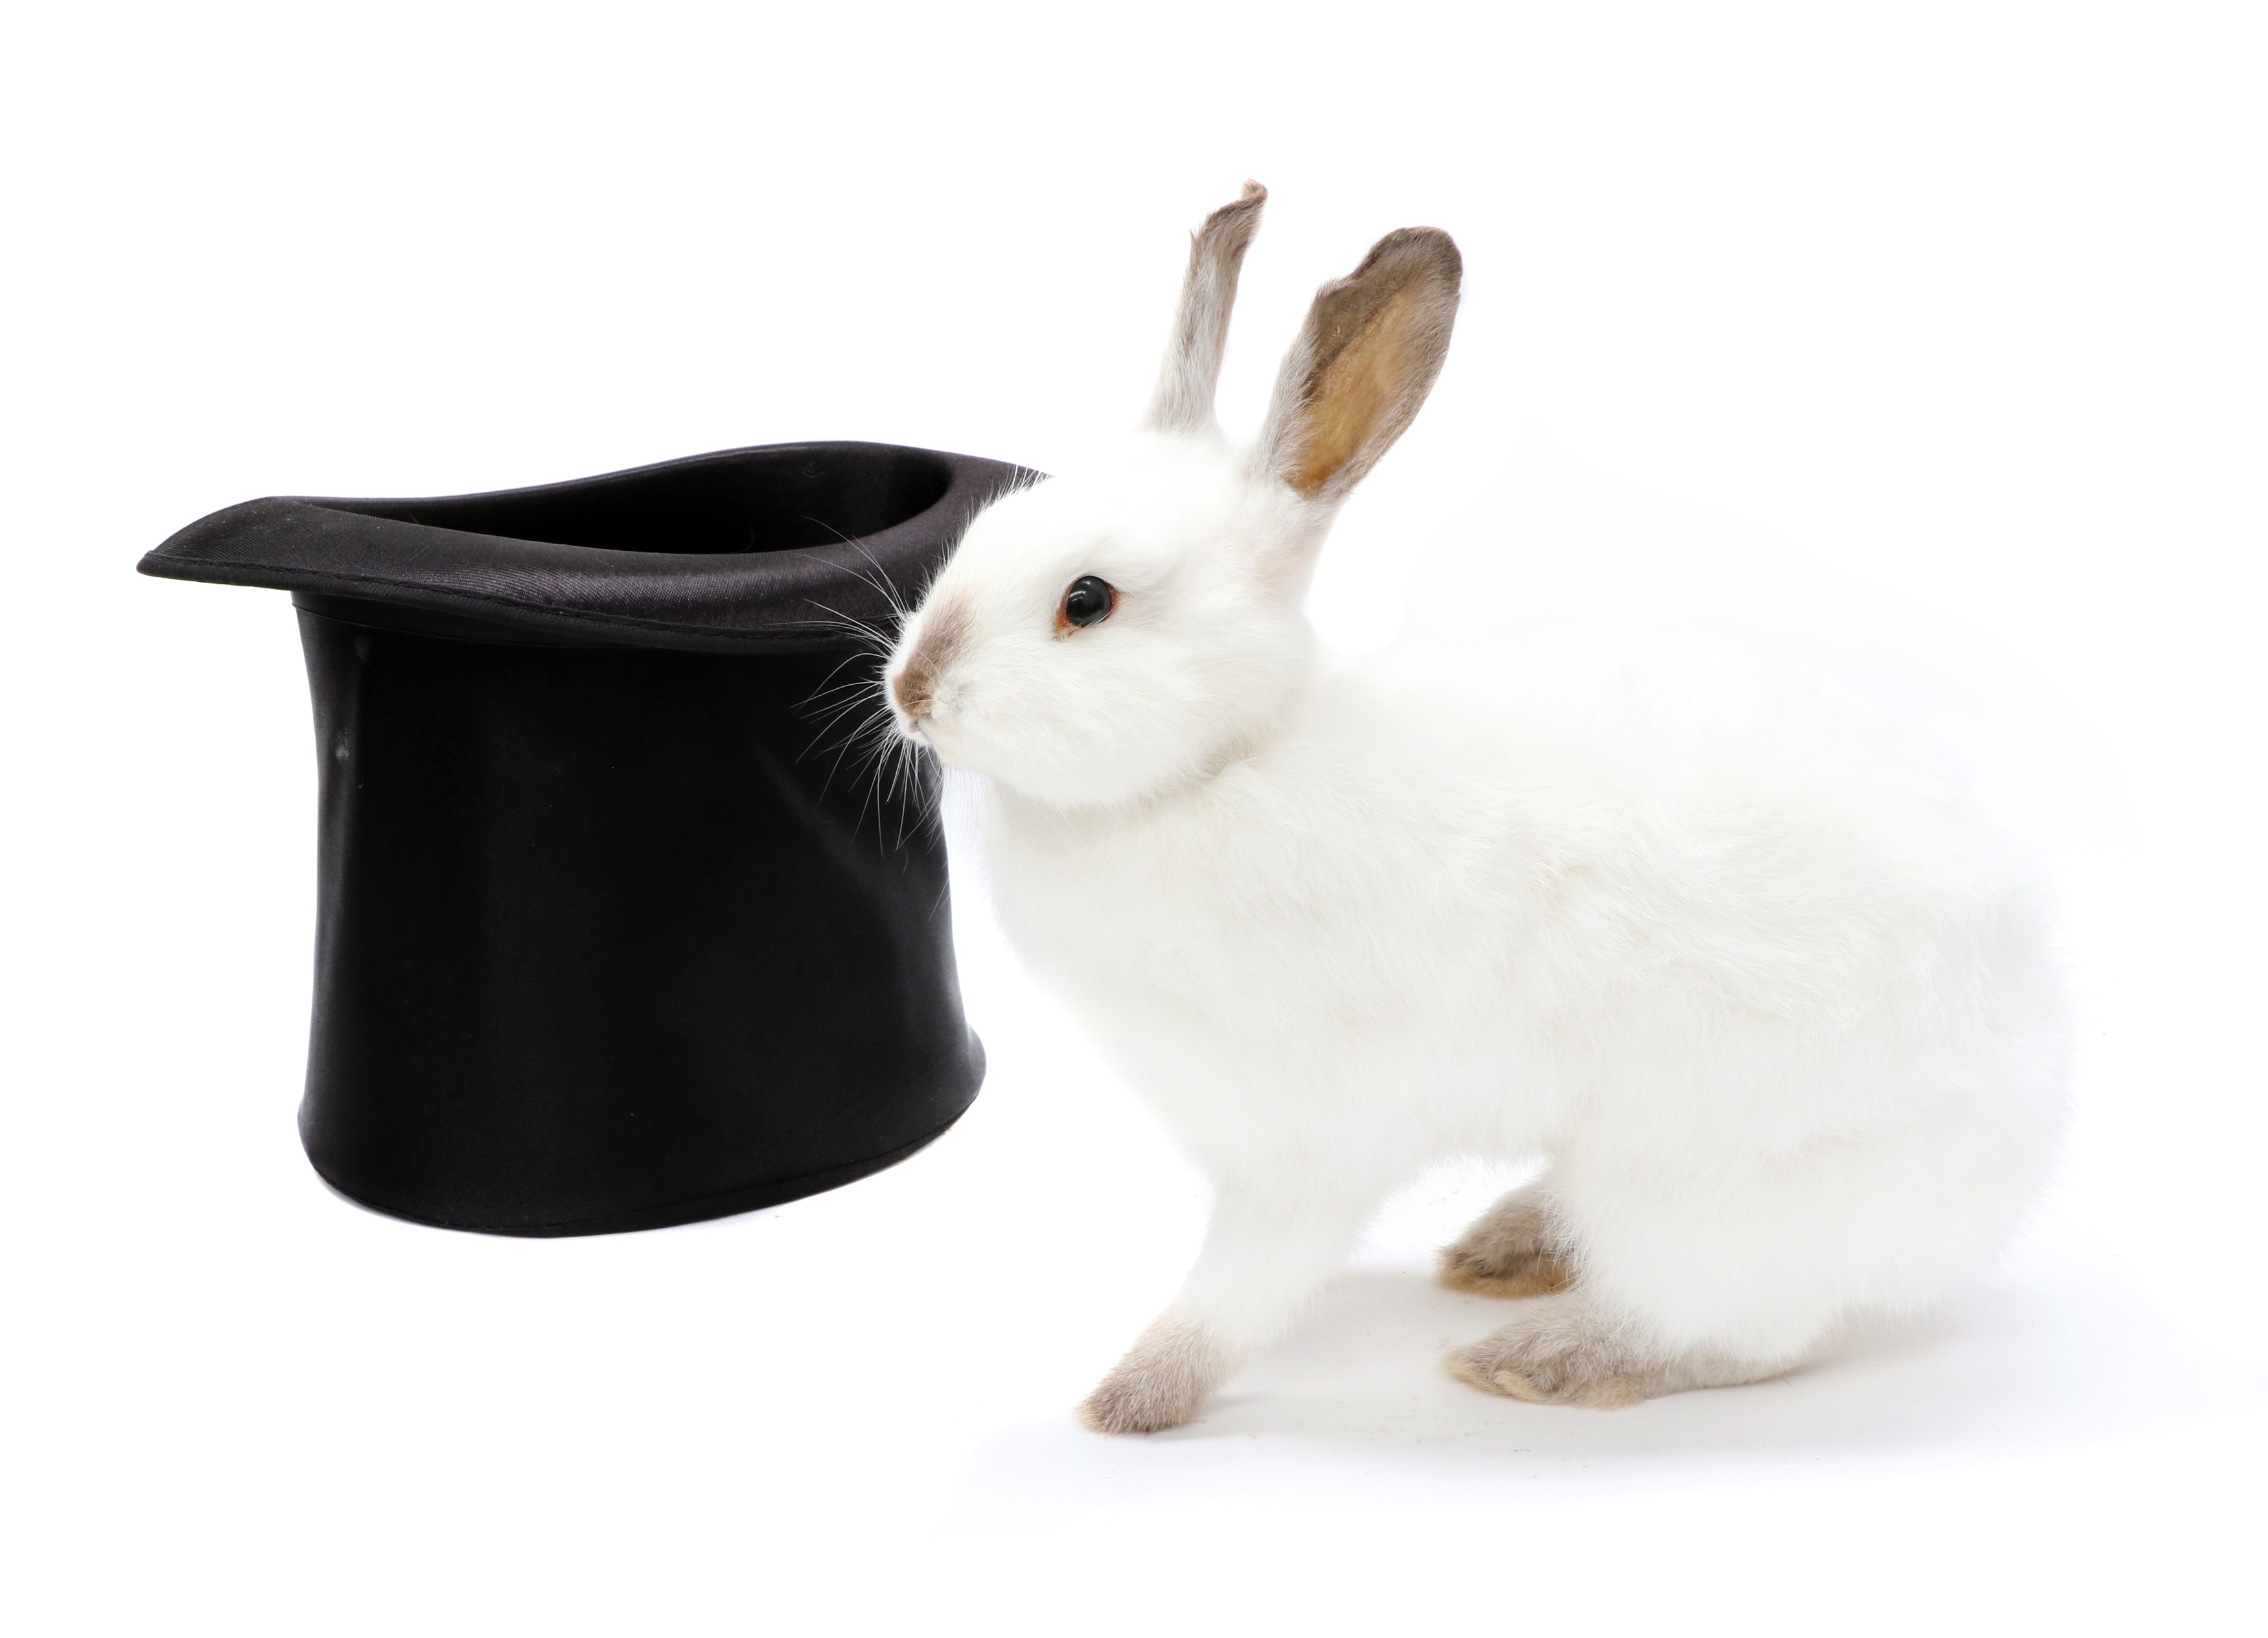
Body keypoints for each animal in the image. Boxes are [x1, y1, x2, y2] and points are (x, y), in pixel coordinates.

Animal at [882, 181, 2069, 1434]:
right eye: (985, 536)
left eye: (1087, 601)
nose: (911, 691)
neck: (1230, 761)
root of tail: (2027, 1131)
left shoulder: (1305, 1143)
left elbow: (1243, 1284)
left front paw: (1131, 1399)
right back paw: (1507, 1249)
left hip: (1702, 1185)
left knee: (1743, 1333)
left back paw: (1541, 1355)